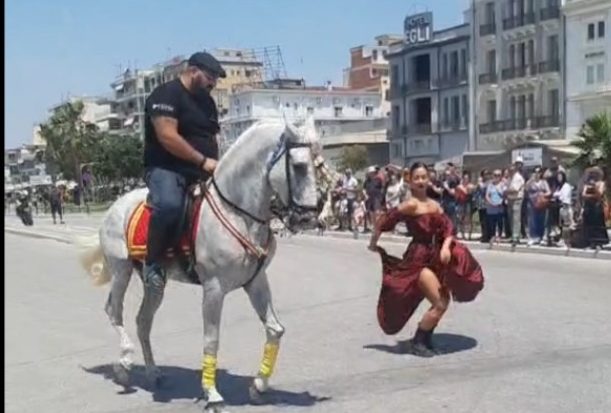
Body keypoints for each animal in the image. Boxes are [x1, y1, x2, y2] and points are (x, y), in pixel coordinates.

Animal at [79, 117, 322, 410]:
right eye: (298, 166)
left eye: (316, 163)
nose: (309, 217)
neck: (237, 212)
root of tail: (117, 205)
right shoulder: (214, 288)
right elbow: (211, 339)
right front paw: (212, 393)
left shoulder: (256, 281)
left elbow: (275, 330)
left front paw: (258, 386)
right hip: (121, 270)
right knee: (114, 310)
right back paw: (124, 363)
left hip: (153, 284)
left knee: (143, 321)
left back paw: (152, 371)